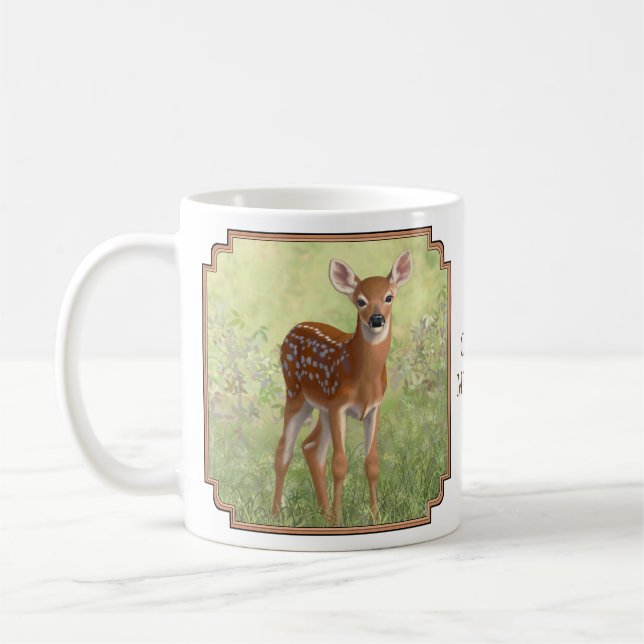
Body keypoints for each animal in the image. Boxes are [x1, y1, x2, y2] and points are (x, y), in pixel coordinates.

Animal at [271, 250, 413, 526]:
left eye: (389, 297)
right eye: (360, 301)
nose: (377, 319)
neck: (363, 378)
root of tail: (293, 329)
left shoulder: (373, 408)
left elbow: (372, 462)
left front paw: (375, 517)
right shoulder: (339, 406)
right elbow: (339, 463)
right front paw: (340, 519)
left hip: (322, 408)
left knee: (311, 447)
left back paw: (323, 515)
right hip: (296, 394)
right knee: (284, 449)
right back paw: (275, 514)